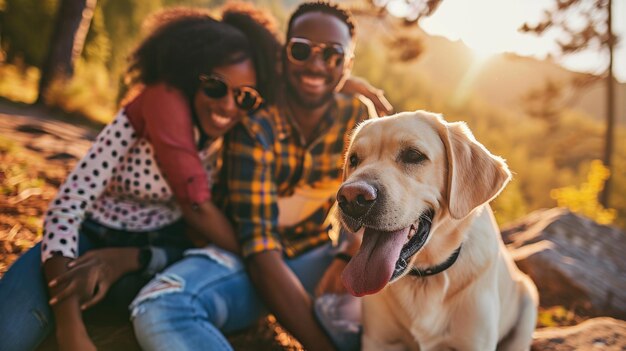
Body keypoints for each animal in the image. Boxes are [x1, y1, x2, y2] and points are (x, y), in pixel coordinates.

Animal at [336, 110, 536, 351]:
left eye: (413, 155)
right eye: (354, 160)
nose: (351, 198)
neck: (424, 277)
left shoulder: (474, 343)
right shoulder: (379, 340)